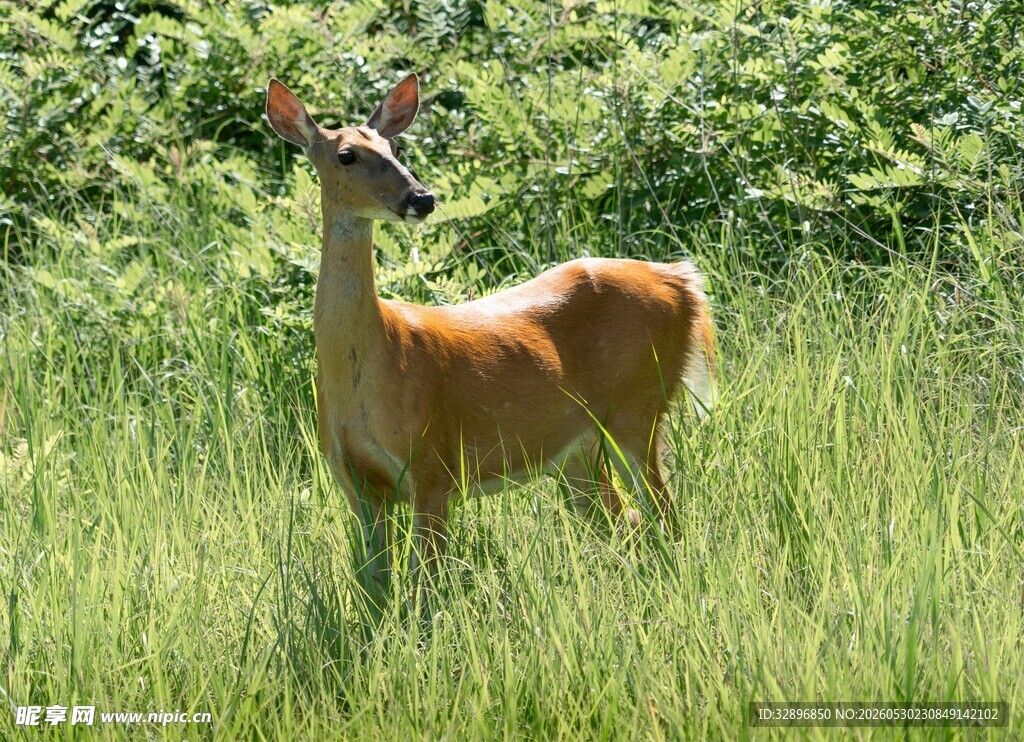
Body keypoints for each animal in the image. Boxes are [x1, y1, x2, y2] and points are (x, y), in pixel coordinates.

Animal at [265, 73, 716, 587]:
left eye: (394, 145)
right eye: (346, 154)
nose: (421, 198)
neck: (371, 359)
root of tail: (683, 281)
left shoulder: (433, 463)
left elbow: (427, 583)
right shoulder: (354, 483)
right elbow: (375, 584)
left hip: (638, 405)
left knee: (664, 511)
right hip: (577, 451)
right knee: (627, 519)